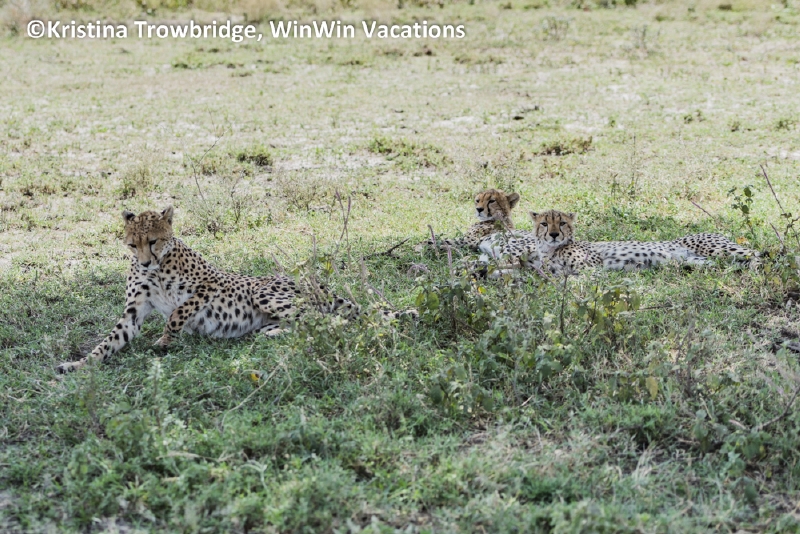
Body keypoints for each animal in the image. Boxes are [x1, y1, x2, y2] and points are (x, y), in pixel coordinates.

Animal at [56, 207, 415, 373]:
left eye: (154, 241)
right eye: (133, 244)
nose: (144, 262)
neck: (157, 268)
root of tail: (315, 283)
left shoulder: (211, 285)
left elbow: (177, 312)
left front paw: (165, 339)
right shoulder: (133, 311)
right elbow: (109, 342)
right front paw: (78, 365)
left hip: (265, 292)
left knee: (329, 321)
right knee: (310, 323)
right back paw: (272, 333)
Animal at [528, 209, 761, 276]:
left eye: (562, 223)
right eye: (544, 224)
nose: (554, 234)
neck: (550, 250)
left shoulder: (593, 266)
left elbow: (582, 277)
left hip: (717, 248)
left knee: (757, 253)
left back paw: (757, 269)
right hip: (699, 261)